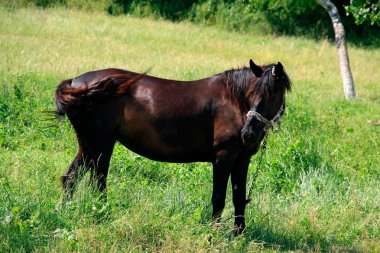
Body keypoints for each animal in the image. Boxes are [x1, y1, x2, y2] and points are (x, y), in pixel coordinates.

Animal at [54, 58, 290, 233]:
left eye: (274, 94)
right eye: (252, 93)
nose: (248, 134)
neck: (234, 101)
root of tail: (75, 83)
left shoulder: (242, 160)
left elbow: (239, 198)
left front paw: (238, 234)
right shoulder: (223, 158)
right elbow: (219, 198)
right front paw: (215, 233)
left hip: (88, 145)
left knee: (70, 178)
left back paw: (67, 211)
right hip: (102, 145)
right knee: (98, 182)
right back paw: (104, 213)